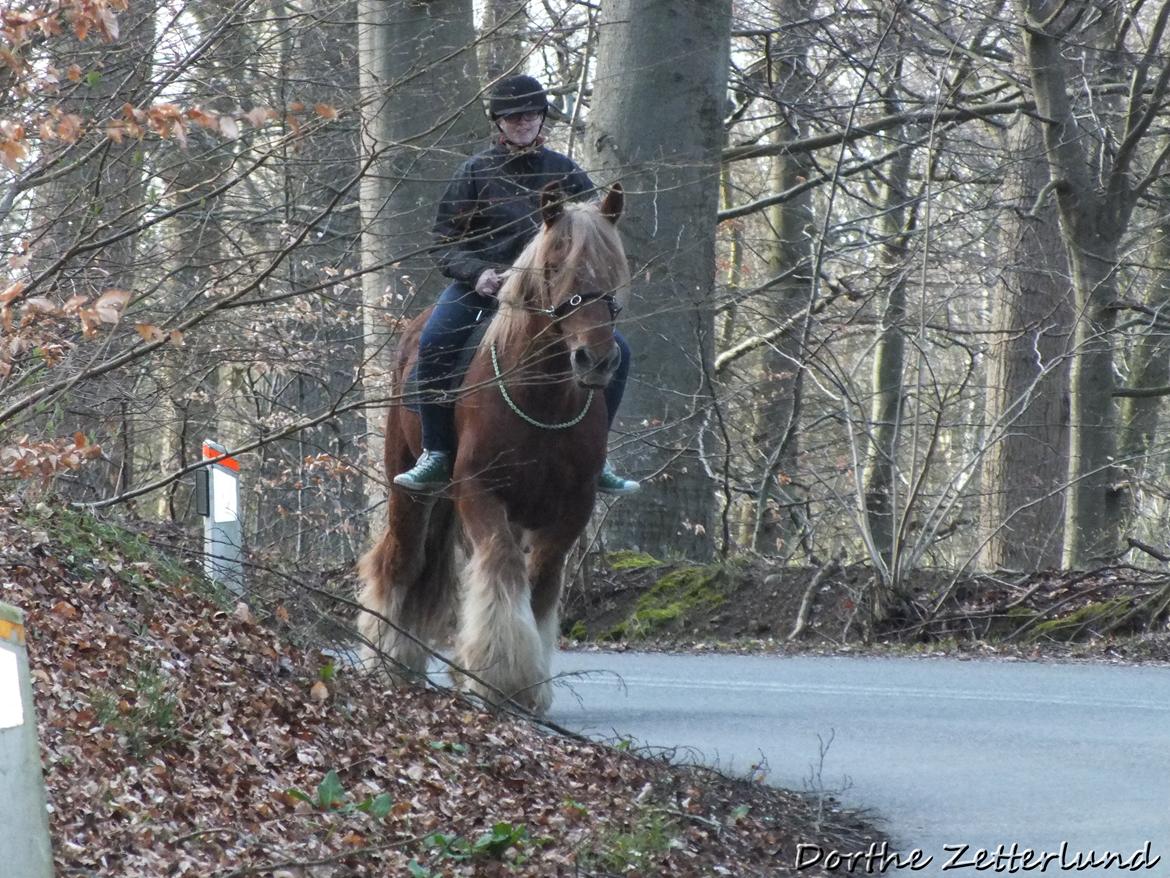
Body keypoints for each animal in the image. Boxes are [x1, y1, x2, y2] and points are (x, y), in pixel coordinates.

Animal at [355, 182, 631, 711]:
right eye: (554, 266)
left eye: (614, 268)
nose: (596, 360)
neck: (541, 401)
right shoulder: (480, 494)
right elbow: (502, 569)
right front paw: (503, 676)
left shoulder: (571, 508)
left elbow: (539, 583)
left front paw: (523, 681)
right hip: (409, 487)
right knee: (400, 562)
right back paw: (389, 660)